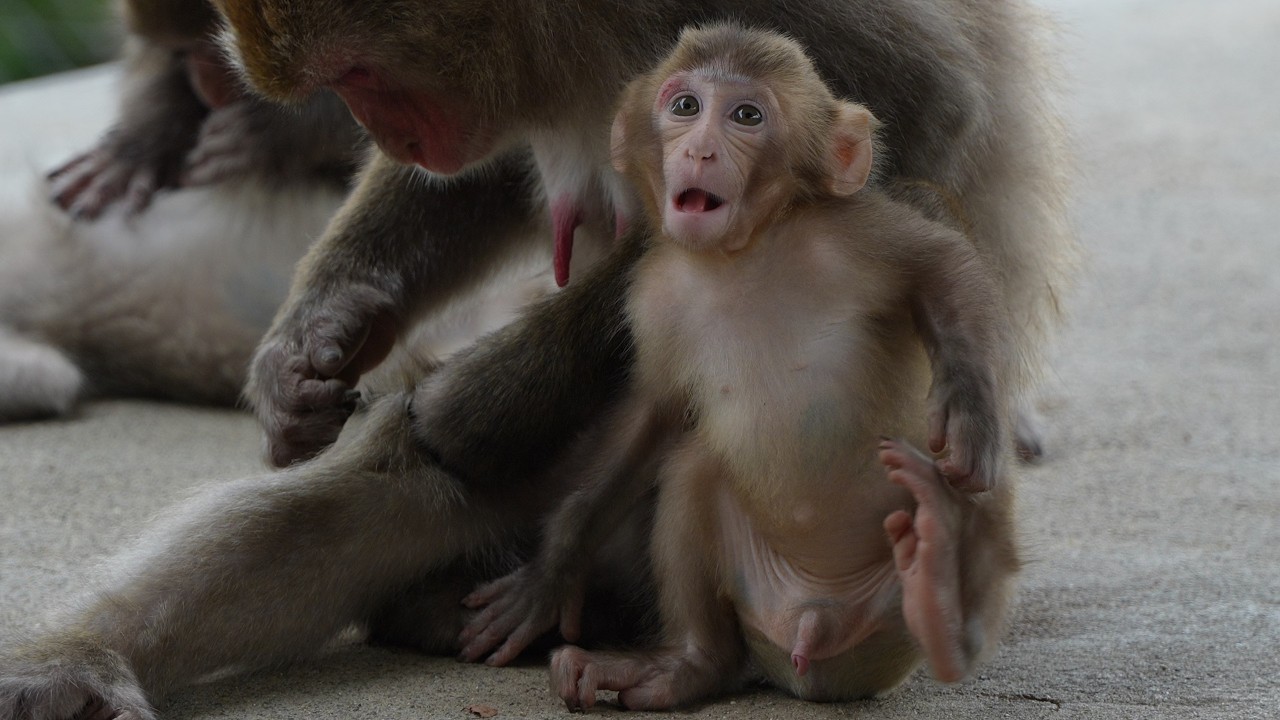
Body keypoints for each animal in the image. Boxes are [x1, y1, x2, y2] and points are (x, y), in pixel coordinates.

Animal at [212, 0, 1073, 468]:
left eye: (358, 74)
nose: (389, 138)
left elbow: (918, 110)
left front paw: (488, 394)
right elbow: (483, 173)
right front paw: (317, 330)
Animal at [454, 25, 1020, 709]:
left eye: (746, 116)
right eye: (685, 106)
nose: (698, 151)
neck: (742, 255)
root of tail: (812, 632)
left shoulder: (852, 230)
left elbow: (942, 266)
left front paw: (968, 405)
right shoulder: (655, 298)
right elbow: (653, 419)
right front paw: (547, 577)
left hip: (886, 635)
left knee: (972, 496)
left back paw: (942, 597)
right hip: (762, 606)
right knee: (694, 472)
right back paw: (686, 668)